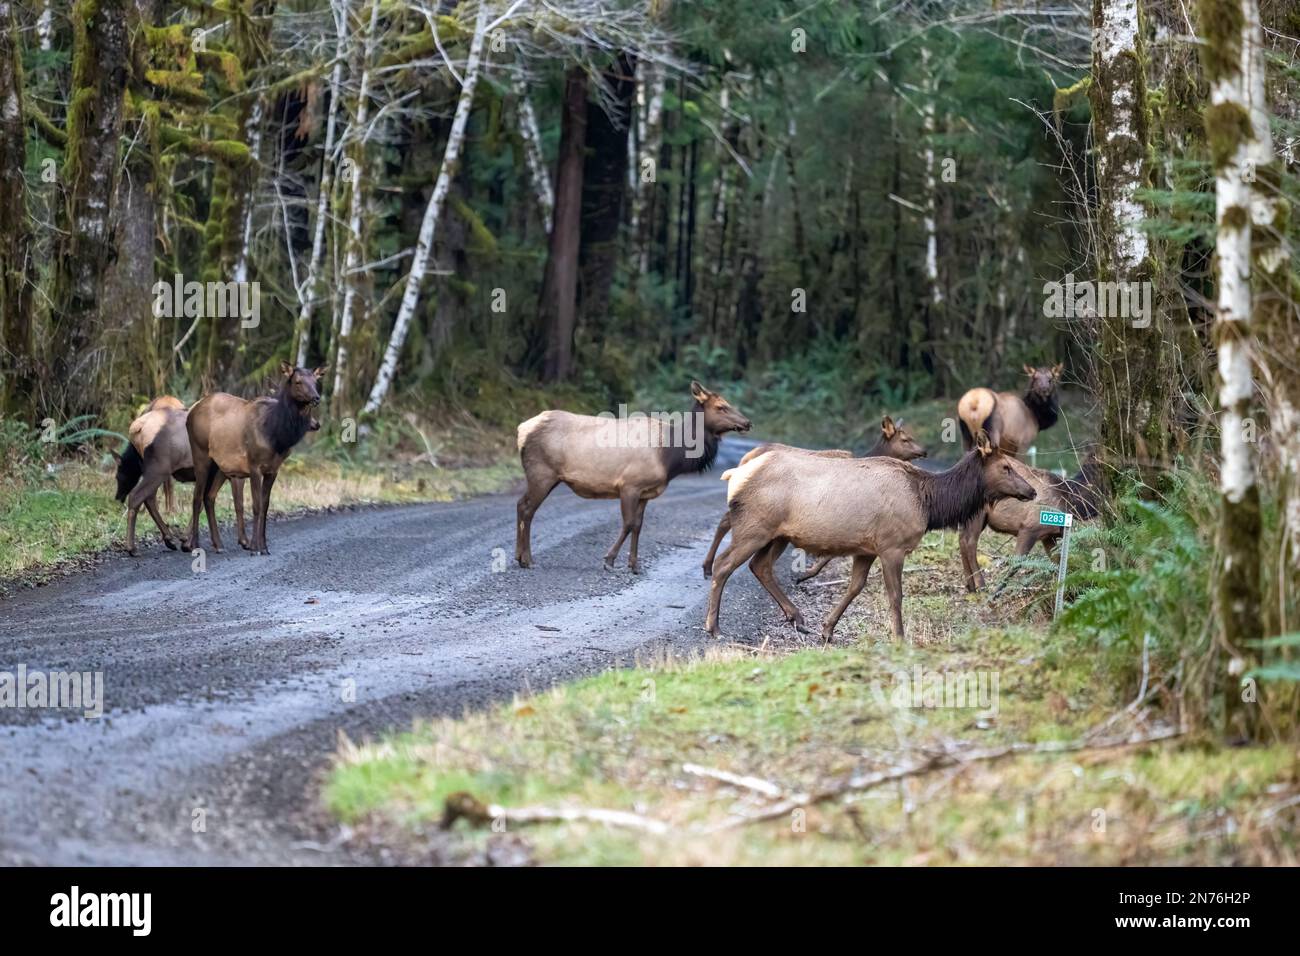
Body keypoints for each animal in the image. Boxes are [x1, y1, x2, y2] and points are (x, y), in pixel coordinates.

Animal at [114, 398, 248, 561]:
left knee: (148, 498)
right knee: (137, 496)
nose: (117, 497)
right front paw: (243, 541)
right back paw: (133, 548)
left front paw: (186, 541)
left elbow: (202, 502)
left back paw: (168, 539)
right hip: (159, 469)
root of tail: (136, 428)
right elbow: (238, 503)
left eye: (120, 475)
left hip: (155, 470)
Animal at [184, 361, 323, 556]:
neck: (277, 436)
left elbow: (265, 505)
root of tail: (190, 411)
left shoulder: (273, 470)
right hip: (200, 453)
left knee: (209, 497)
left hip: (220, 465)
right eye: (297, 381)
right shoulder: (254, 465)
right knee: (196, 497)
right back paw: (194, 544)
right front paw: (255, 547)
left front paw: (264, 546)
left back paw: (218, 544)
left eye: (315, 381)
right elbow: (256, 506)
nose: (316, 398)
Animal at [702, 416, 925, 580]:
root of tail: (744, 459)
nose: (924, 451)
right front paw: (808, 573)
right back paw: (707, 566)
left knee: (726, 519)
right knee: (727, 521)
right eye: (905, 439)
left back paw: (708, 566)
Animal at [707, 431, 1029, 642]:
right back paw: (714, 627)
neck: (929, 504)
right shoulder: (892, 545)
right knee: (724, 565)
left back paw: (797, 618)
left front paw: (827, 629)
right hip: (755, 525)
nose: (1031, 490)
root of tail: (733, 473)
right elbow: (895, 596)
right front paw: (899, 638)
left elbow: (855, 587)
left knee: (759, 566)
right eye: (1006, 467)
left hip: (778, 535)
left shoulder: (866, 549)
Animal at [961, 455, 1102, 590]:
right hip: (976, 514)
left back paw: (971, 586)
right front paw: (997, 591)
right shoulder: (1030, 528)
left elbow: (1056, 561)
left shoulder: (1048, 536)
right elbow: (1016, 563)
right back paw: (981, 585)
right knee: (970, 544)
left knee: (962, 541)